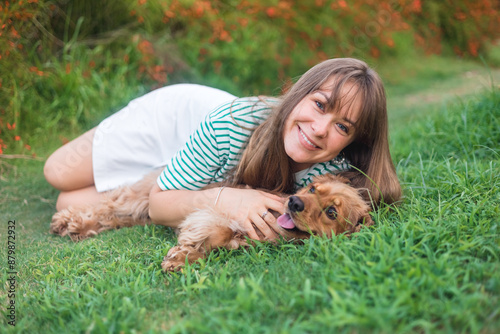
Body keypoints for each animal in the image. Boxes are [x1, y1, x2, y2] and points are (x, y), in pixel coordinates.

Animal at [49, 172, 372, 272]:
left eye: (331, 212)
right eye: (313, 189)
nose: (294, 202)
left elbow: (218, 242)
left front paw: (183, 257)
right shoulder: (217, 212)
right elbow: (216, 228)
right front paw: (182, 254)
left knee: (112, 217)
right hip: (140, 199)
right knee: (106, 207)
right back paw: (69, 222)